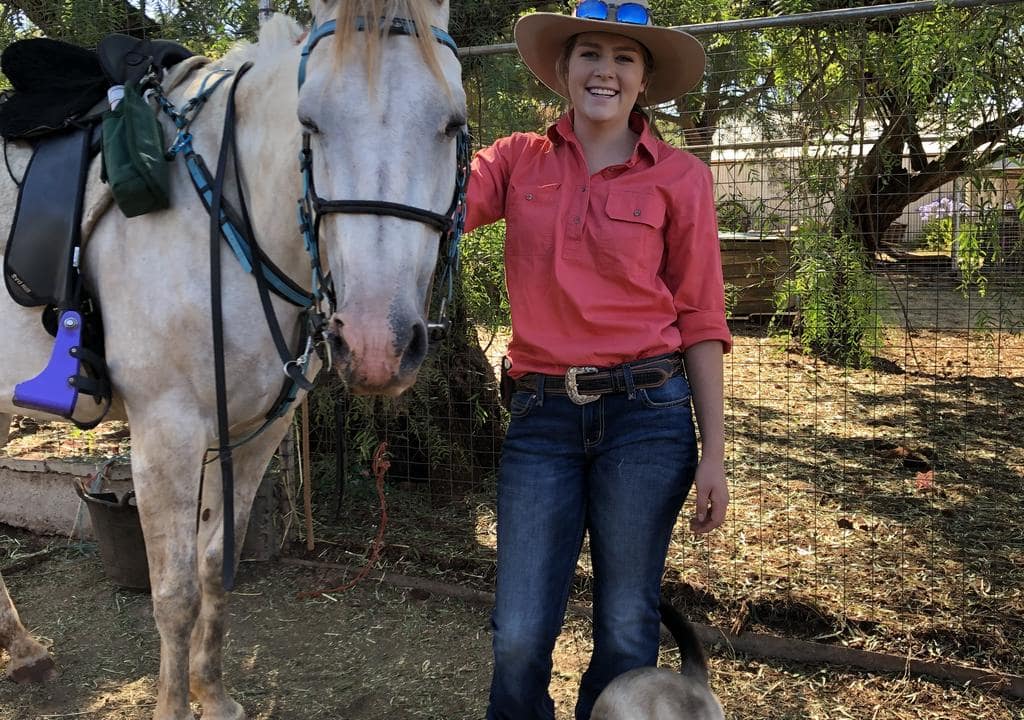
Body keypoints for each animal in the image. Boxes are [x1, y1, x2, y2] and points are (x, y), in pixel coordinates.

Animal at [0, 2, 466, 716]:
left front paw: (213, 696)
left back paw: (23, 651)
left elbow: (220, 566)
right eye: (310, 122)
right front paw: (173, 705)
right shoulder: (166, 434)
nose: (376, 345)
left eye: (453, 123)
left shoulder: (256, 432)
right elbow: (175, 594)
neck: (223, 223)